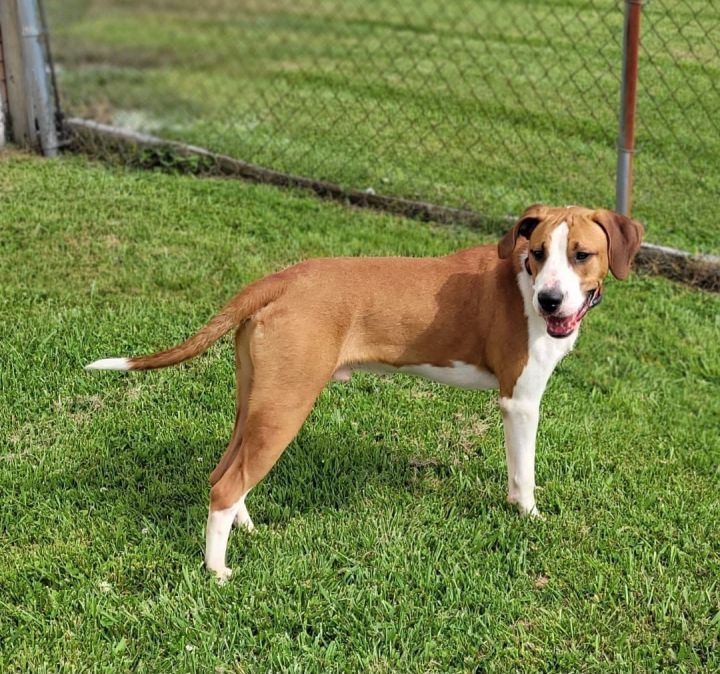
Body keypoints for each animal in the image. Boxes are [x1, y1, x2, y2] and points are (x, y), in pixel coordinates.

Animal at [87, 202, 644, 576]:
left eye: (581, 255)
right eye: (538, 253)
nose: (550, 301)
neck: (520, 281)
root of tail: (280, 279)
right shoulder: (521, 403)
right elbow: (523, 476)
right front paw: (529, 519)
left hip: (255, 403)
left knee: (224, 473)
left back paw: (243, 526)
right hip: (286, 406)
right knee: (226, 485)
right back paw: (217, 571)